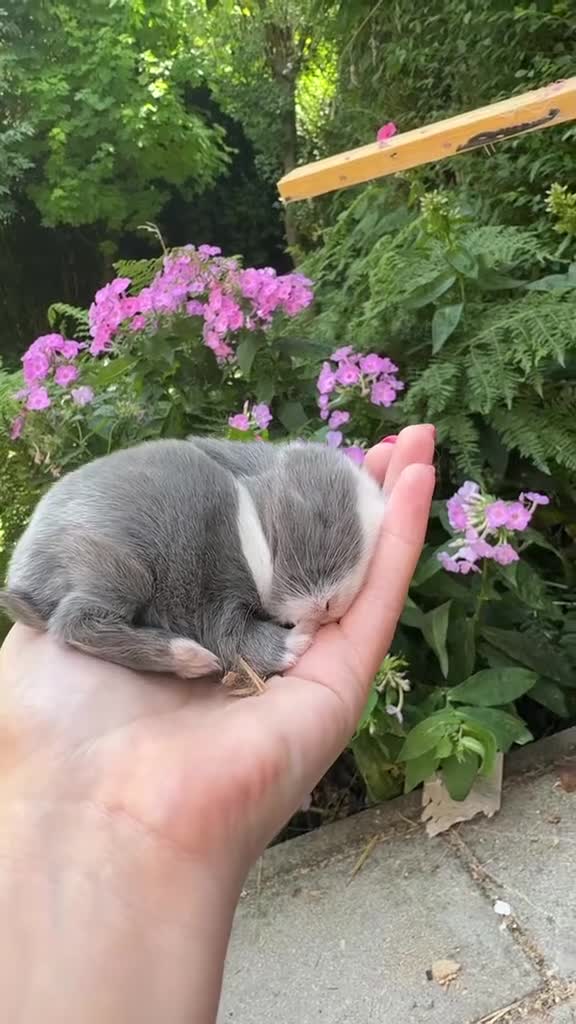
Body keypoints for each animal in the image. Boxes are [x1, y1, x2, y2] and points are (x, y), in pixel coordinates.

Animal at [0, 437, 386, 680]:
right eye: (320, 517)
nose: (329, 607)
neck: (248, 520)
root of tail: (22, 578)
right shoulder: (217, 592)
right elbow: (235, 639)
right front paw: (297, 641)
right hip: (117, 568)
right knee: (74, 622)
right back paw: (190, 658)